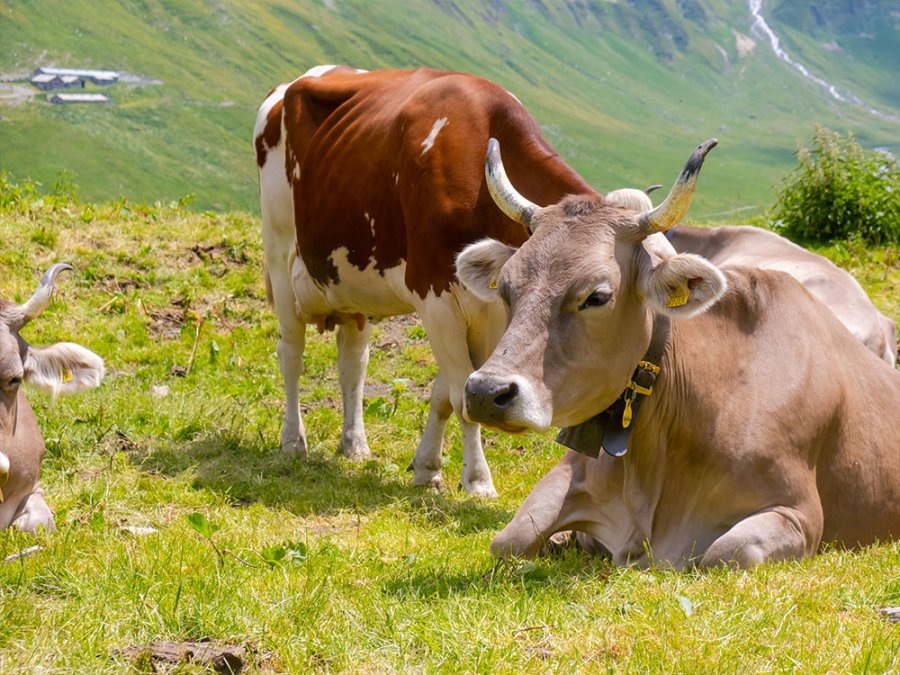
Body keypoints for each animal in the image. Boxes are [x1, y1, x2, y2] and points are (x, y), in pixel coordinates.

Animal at [456, 138, 900, 568]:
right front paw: (562, 538)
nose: (486, 391)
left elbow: (726, 553)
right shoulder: (570, 472)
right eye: (506, 288)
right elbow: (509, 540)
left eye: (597, 297)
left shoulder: (797, 512)